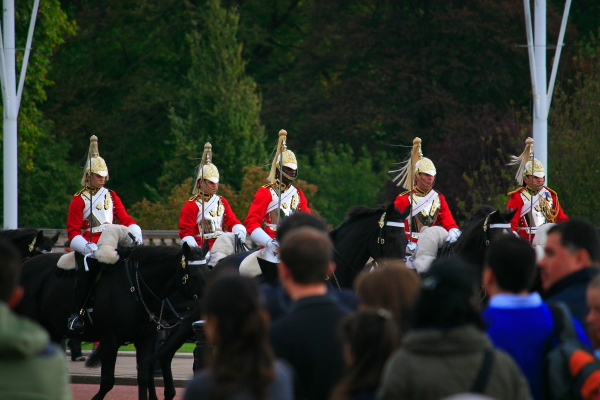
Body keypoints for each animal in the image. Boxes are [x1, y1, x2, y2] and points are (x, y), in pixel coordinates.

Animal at [15, 244, 209, 400]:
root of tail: (24, 263)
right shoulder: (110, 339)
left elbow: (144, 376)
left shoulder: (146, 339)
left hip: (52, 330)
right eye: (193, 274)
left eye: (207, 270)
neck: (136, 288)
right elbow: (108, 381)